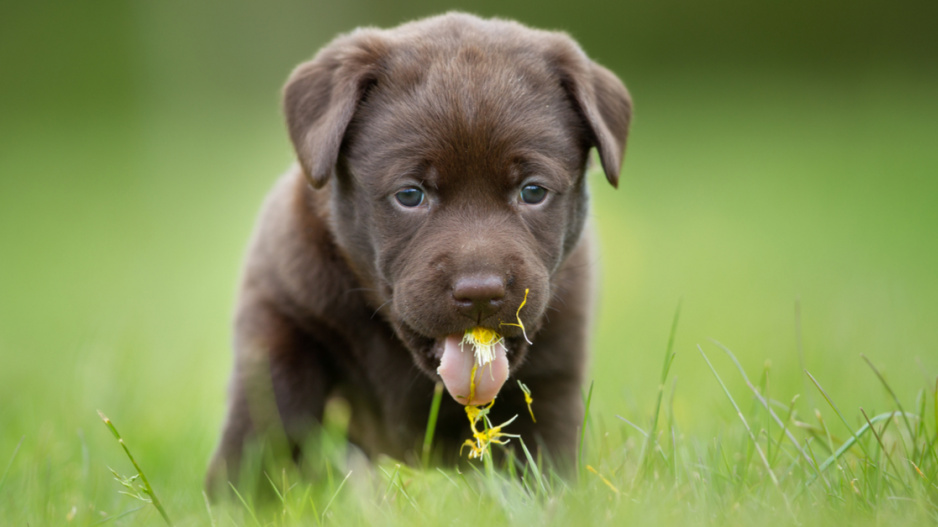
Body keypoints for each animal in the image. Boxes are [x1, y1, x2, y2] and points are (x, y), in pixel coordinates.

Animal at [205, 10, 628, 492]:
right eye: (410, 195)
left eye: (533, 191)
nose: (481, 293)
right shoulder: (282, 317)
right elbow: (264, 426)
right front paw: (241, 498)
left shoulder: (555, 369)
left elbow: (542, 458)